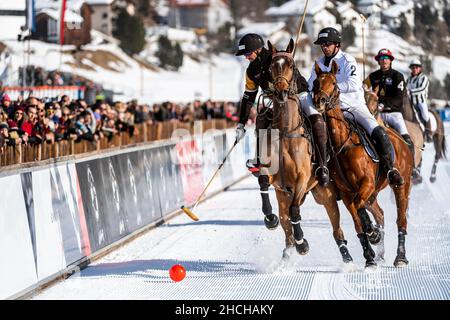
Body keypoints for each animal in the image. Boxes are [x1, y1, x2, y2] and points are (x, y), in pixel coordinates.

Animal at [260, 40, 356, 264]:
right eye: (271, 67)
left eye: (292, 65)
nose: (281, 92)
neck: (286, 131)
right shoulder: (276, 179)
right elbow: (263, 181)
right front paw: (269, 218)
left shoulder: (302, 179)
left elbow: (296, 211)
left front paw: (302, 243)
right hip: (283, 196)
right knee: (286, 225)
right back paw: (286, 254)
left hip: (325, 194)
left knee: (336, 228)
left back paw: (346, 257)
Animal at [312, 60, 412, 268]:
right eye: (315, 83)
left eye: (334, 83)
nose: (320, 101)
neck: (343, 144)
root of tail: (400, 139)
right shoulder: (347, 193)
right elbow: (358, 222)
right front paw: (369, 256)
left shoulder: (366, 183)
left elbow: (360, 210)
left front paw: (372, 234)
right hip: (373, 194)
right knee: (379, 213)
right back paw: (380, 251)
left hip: (402, 185)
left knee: (401, 220)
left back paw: (400, 257)